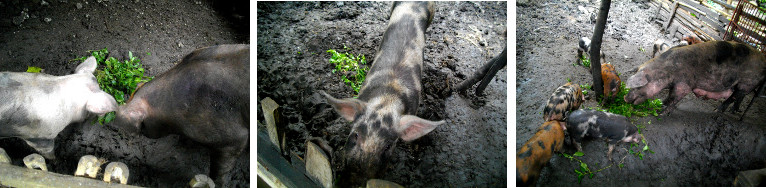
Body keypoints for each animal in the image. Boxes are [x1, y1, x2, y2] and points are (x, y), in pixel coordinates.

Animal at [624, 40, 766, 115]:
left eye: (639, 86)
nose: (625, 98)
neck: (667, 70)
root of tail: (764, 62)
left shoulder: (684, 84)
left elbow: (674, 97)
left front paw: (661, 111)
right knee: (739, 98)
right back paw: (735, 112)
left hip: (746, 83)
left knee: (734, 97)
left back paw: (716, 111)